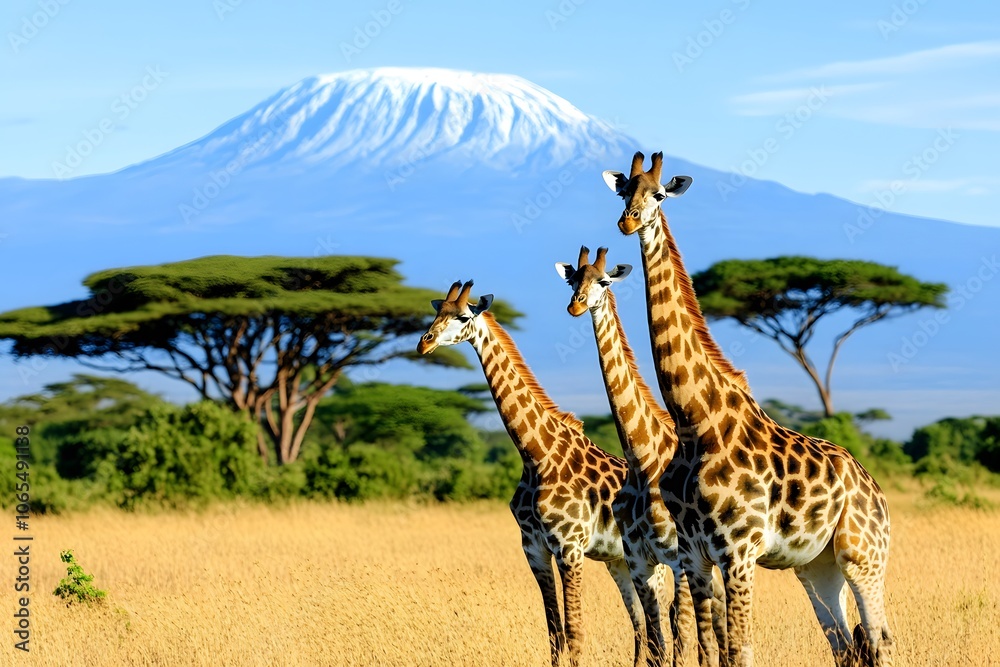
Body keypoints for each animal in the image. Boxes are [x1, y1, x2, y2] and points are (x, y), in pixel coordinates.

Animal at [417, 279, 667, 667]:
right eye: (436, 313)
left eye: (461, 317)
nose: (424, 342)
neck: (536, 455)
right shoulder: (533, 548)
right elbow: (554, 635)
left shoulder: (570, 548)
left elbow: (575, 635)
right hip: (620, 562)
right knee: (642, 627)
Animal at [555, 245, 727, 667]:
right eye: (572, 280)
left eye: (603, 281)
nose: (575, 305)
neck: (640, 457)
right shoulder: (638, 559)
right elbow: (655, 639)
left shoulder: (677, 558)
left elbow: (679, 631)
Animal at [599, 151, 894, 667]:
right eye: (623, 192)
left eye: (659, 194)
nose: (628, 221)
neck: (695, 422)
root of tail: (874, 490)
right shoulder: (695, 554)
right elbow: (707, 645)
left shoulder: (739, 551)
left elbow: (738, 648)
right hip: (816, 566)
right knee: (845, 644)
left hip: (862, 555)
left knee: (880, 639)